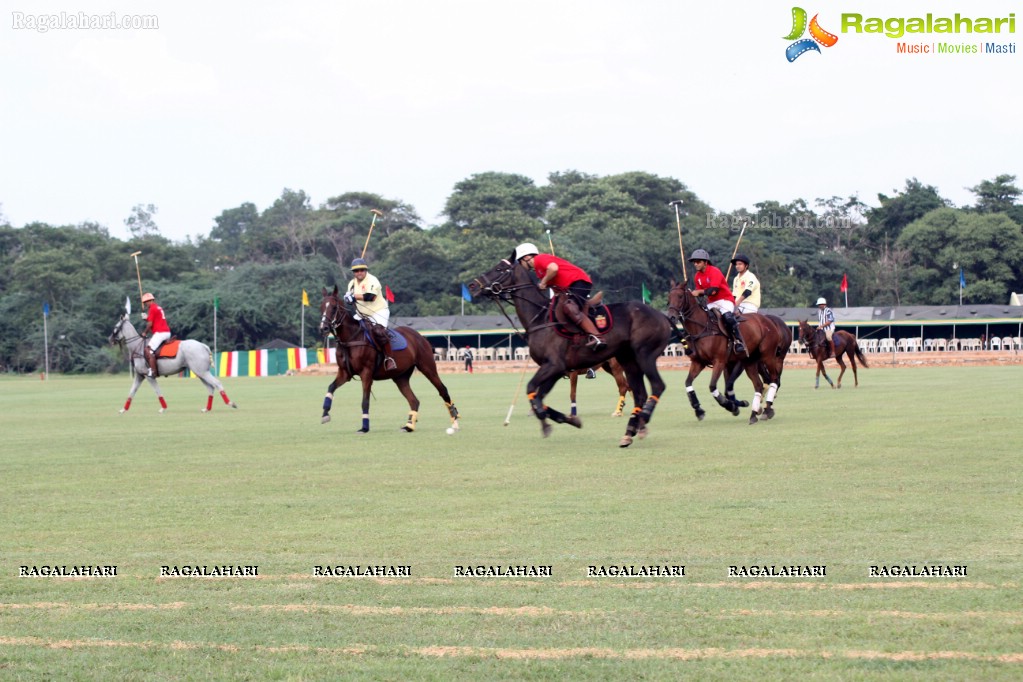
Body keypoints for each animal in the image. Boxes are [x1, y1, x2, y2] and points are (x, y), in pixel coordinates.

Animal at [108, 312, 237, 413]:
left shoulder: (149, 376)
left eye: (115, 327)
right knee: (210, 387)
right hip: (200, 372)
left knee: (217, 383)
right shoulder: (140, 376)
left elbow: (157, 391)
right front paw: (123, 409)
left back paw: (231, 403)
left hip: (202, 371)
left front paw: (163, 408)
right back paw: (207, 408)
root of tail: (203, 346)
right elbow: (132, 391)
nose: (110, 340)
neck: (137, 346)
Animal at [319, 286, 460, 435]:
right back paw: (409, 426)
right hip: (400, 376)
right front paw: (325, 414)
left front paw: (364, 427)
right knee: (414, 400)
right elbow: (331, 387)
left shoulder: (366, 373)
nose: (324, 328)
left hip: (427, 366)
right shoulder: (345, 373)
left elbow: (365, 401)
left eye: (334, 307)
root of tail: (420, 336)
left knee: (442, 390)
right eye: (321, 306)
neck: (351, 338)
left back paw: (454, 423)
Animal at [468, 253, 675, 445]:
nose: (472, 286)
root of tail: (662, 316)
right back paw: (631, 431)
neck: (540, 318)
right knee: (639, 393)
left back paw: (643, 417)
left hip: (643, 354)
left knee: (656, 385)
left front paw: (547, 422)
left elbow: (532, 390)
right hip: (628, 360)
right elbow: (539, 397)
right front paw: (568, 419)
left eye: (499, 269)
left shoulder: (554, 366)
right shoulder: (556, 369)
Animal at [666, 280, 785, 423]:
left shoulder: (720, 361)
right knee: (759, 384)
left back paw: (766, 410)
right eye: (668, 297)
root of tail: (769, 321)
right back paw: (754, 414)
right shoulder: (698, 362)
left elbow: (714, 386)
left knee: (774, 379)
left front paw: (730, 406)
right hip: (750, 361)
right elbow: (688, 383)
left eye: (680, 296)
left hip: (768, 356)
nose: (671, 317)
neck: (702, 328)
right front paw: (698, 410)